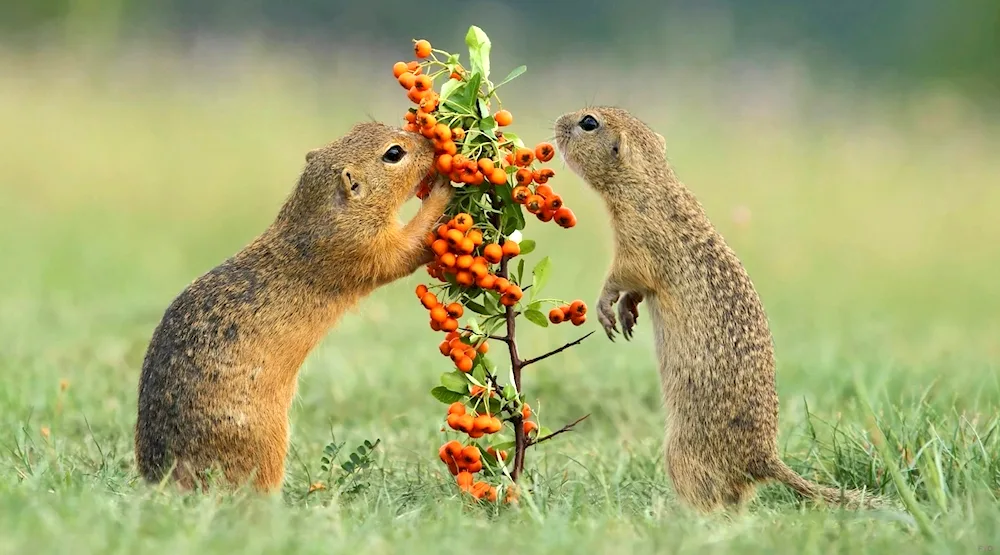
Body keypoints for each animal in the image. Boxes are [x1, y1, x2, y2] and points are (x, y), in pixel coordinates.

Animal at [132, 122, 450, 496]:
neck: (313, 216)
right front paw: (445, 191)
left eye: (363, 126)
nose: (431, 143)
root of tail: (164, 479)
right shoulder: (366, 247)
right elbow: (410, 246)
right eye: (394, 153)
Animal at [552, 107, 888, 512]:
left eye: (589, 123)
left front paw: (606, 308)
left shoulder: (637, 242)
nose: (557, 121)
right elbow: (636, 291)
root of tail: (764, 460)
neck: (650, 182)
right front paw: (627, 314)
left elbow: (623, 276)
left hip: (680, 454)